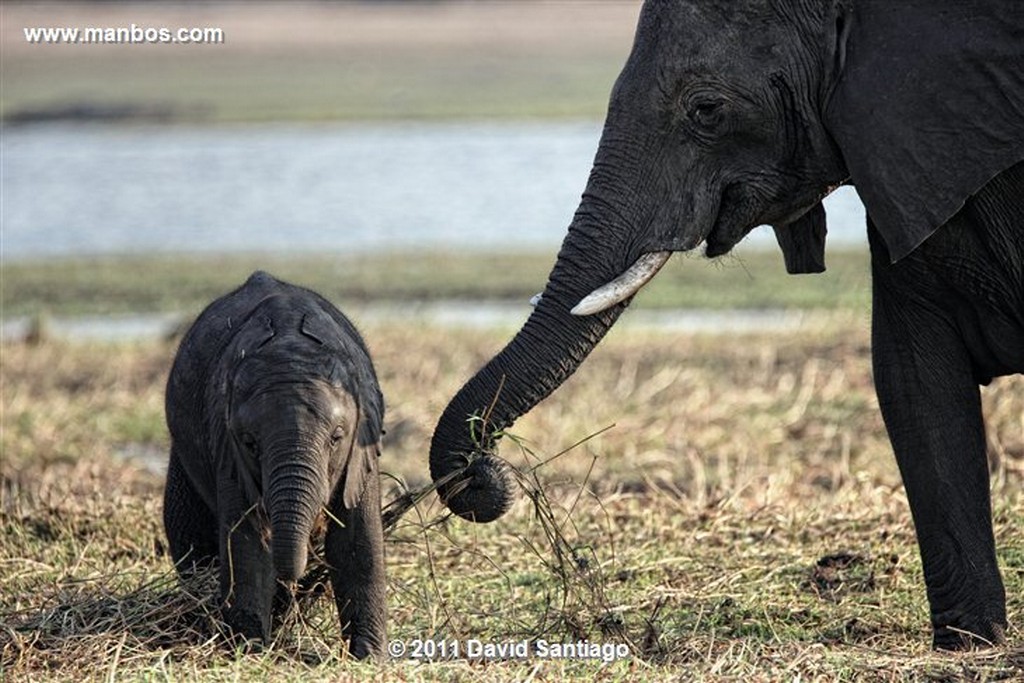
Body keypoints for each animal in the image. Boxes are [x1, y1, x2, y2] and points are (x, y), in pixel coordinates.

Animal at [163, 270, 387, 655]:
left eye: (336, 437)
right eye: (250, 442)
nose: (297, 584)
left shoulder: (361, 450)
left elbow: (357, 542)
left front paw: (369, 656)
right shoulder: (227, 446)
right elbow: (247, 543)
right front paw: (249, 650)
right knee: (190, 537)